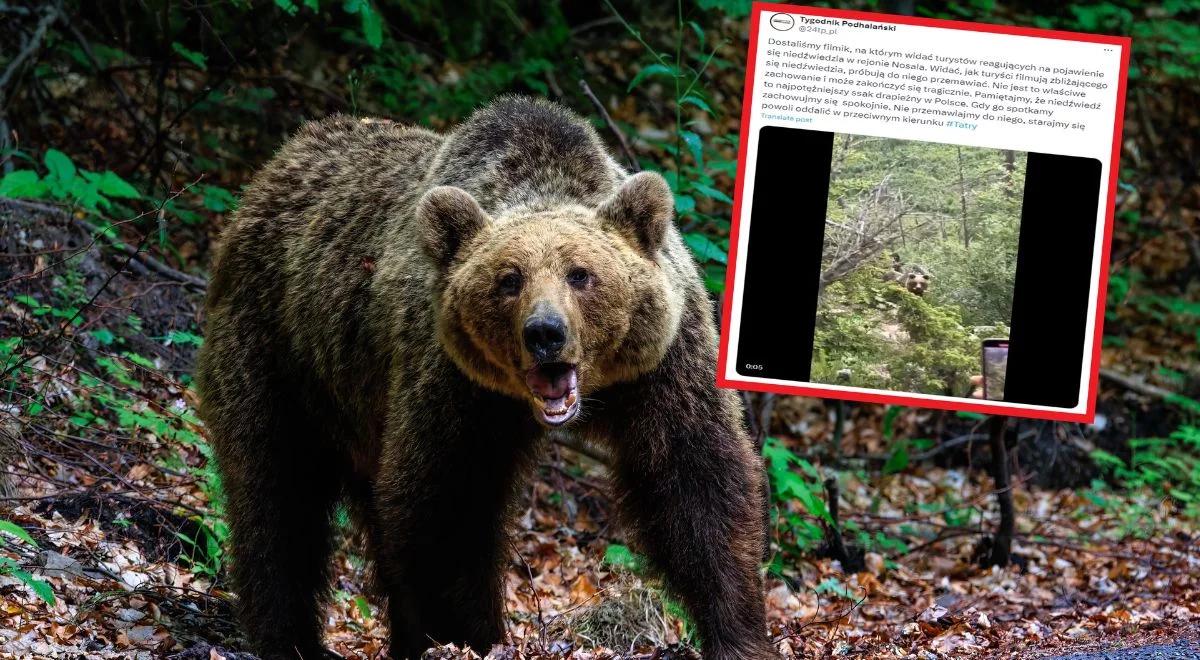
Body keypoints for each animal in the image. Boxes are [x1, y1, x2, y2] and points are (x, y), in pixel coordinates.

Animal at [199, 97, 768, 660]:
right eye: (509, 279)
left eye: (581, 274)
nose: (545, 332)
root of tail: (273, 169)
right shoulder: (454, 383)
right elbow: (447, 505)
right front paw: (473, 636)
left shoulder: (661, 367)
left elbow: (696, 481)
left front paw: (738, 632)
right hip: (279, 354)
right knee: (276, 496)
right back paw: (288, 638)